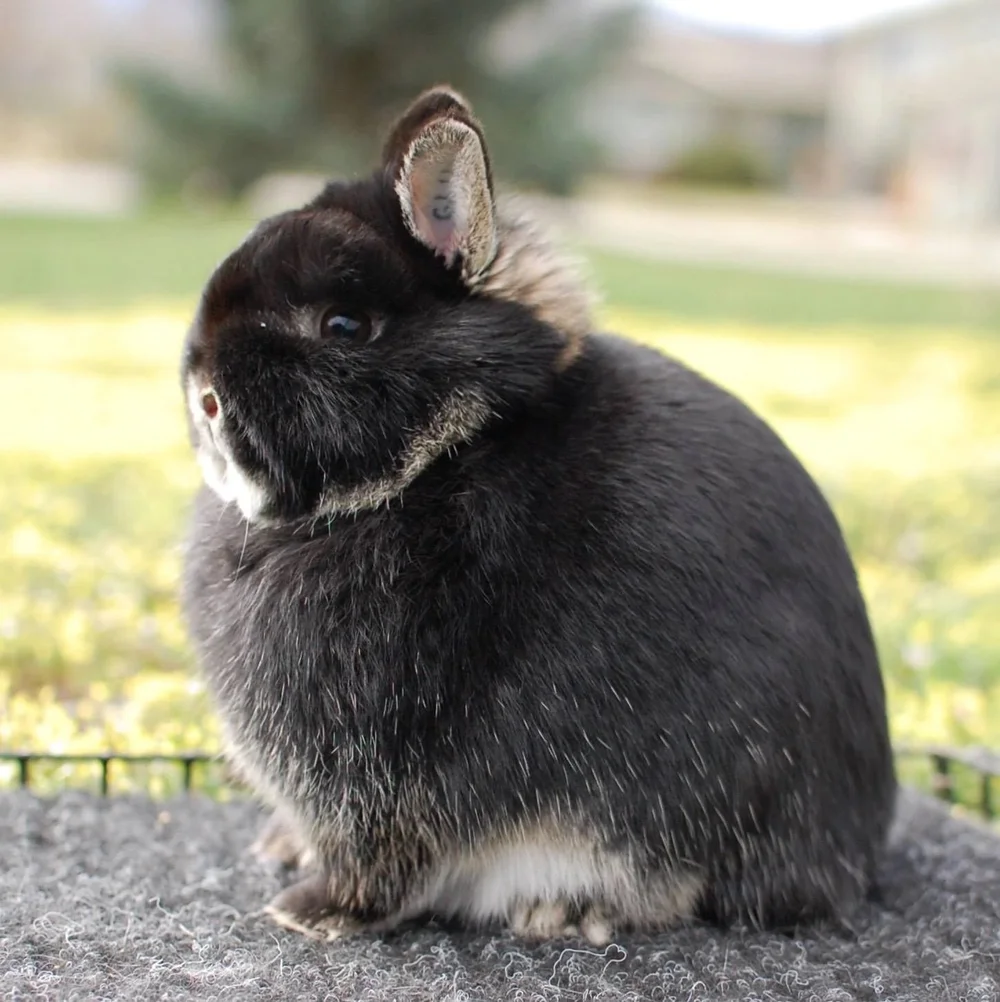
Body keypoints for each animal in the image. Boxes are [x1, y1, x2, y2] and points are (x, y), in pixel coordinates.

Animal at [179, 85, 897, 946]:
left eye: (343, 327)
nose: (202, 395)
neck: (443, 455)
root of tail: (851, 855)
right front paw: (281, 853)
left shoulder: (378, 764)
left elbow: (380, 862)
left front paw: (310, 912)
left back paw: (561, 909)